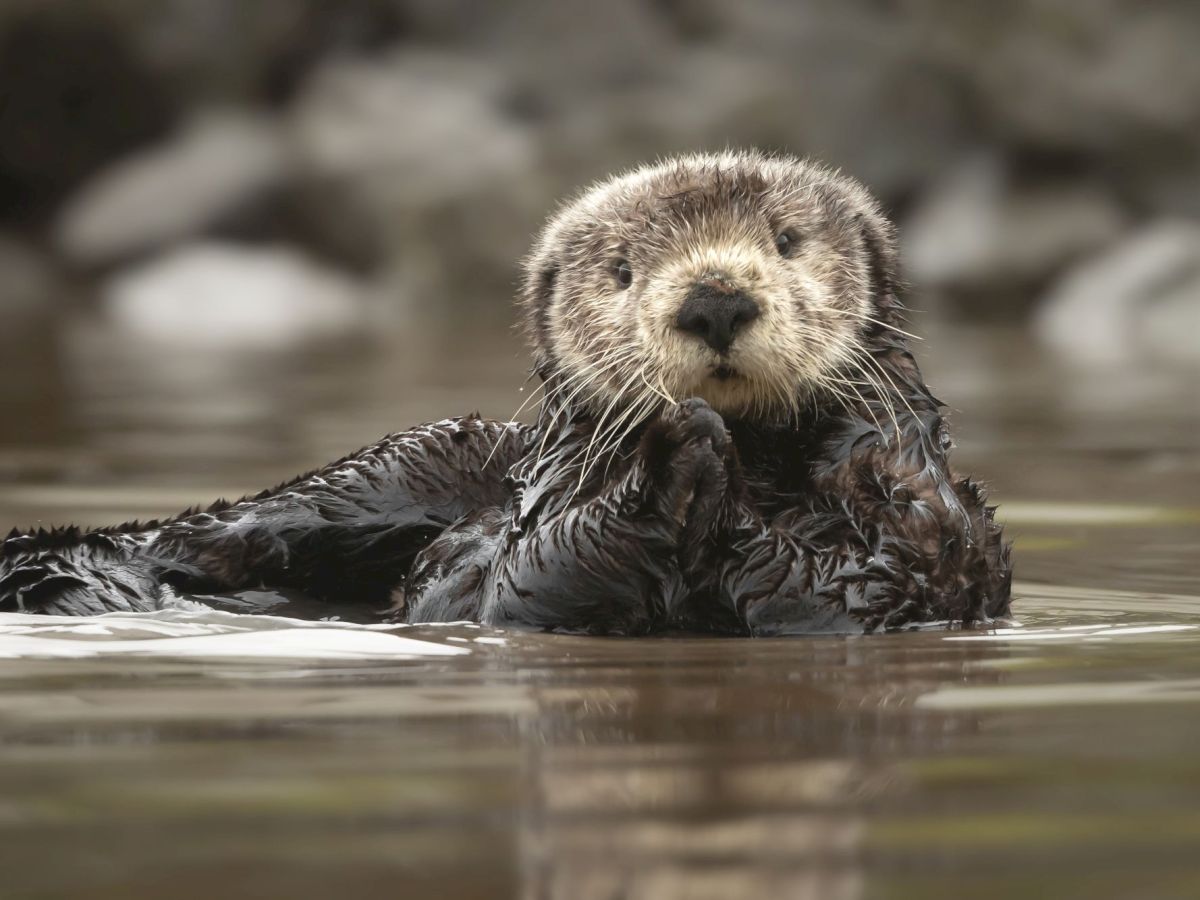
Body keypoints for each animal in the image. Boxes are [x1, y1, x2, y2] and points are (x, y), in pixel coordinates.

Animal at [0, 151, 1011, 634]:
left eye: (788, 241)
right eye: (621, 269)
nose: (716, 298)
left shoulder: (921, 521)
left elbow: (853, 588)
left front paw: (695, 469)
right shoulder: (529, 536)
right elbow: (525, 579)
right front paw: (674, 458)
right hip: (419, 456)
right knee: (219, 530)